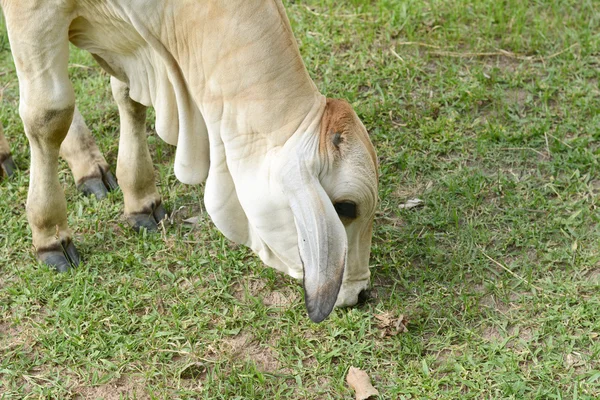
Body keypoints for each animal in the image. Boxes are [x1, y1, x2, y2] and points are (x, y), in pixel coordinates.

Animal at [2, 0, 380, 322]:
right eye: (346, 207)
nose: (360, 293)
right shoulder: (34, 11)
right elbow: (49, 114)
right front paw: (50, 234)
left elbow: (128, 97)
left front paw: (140, 198)